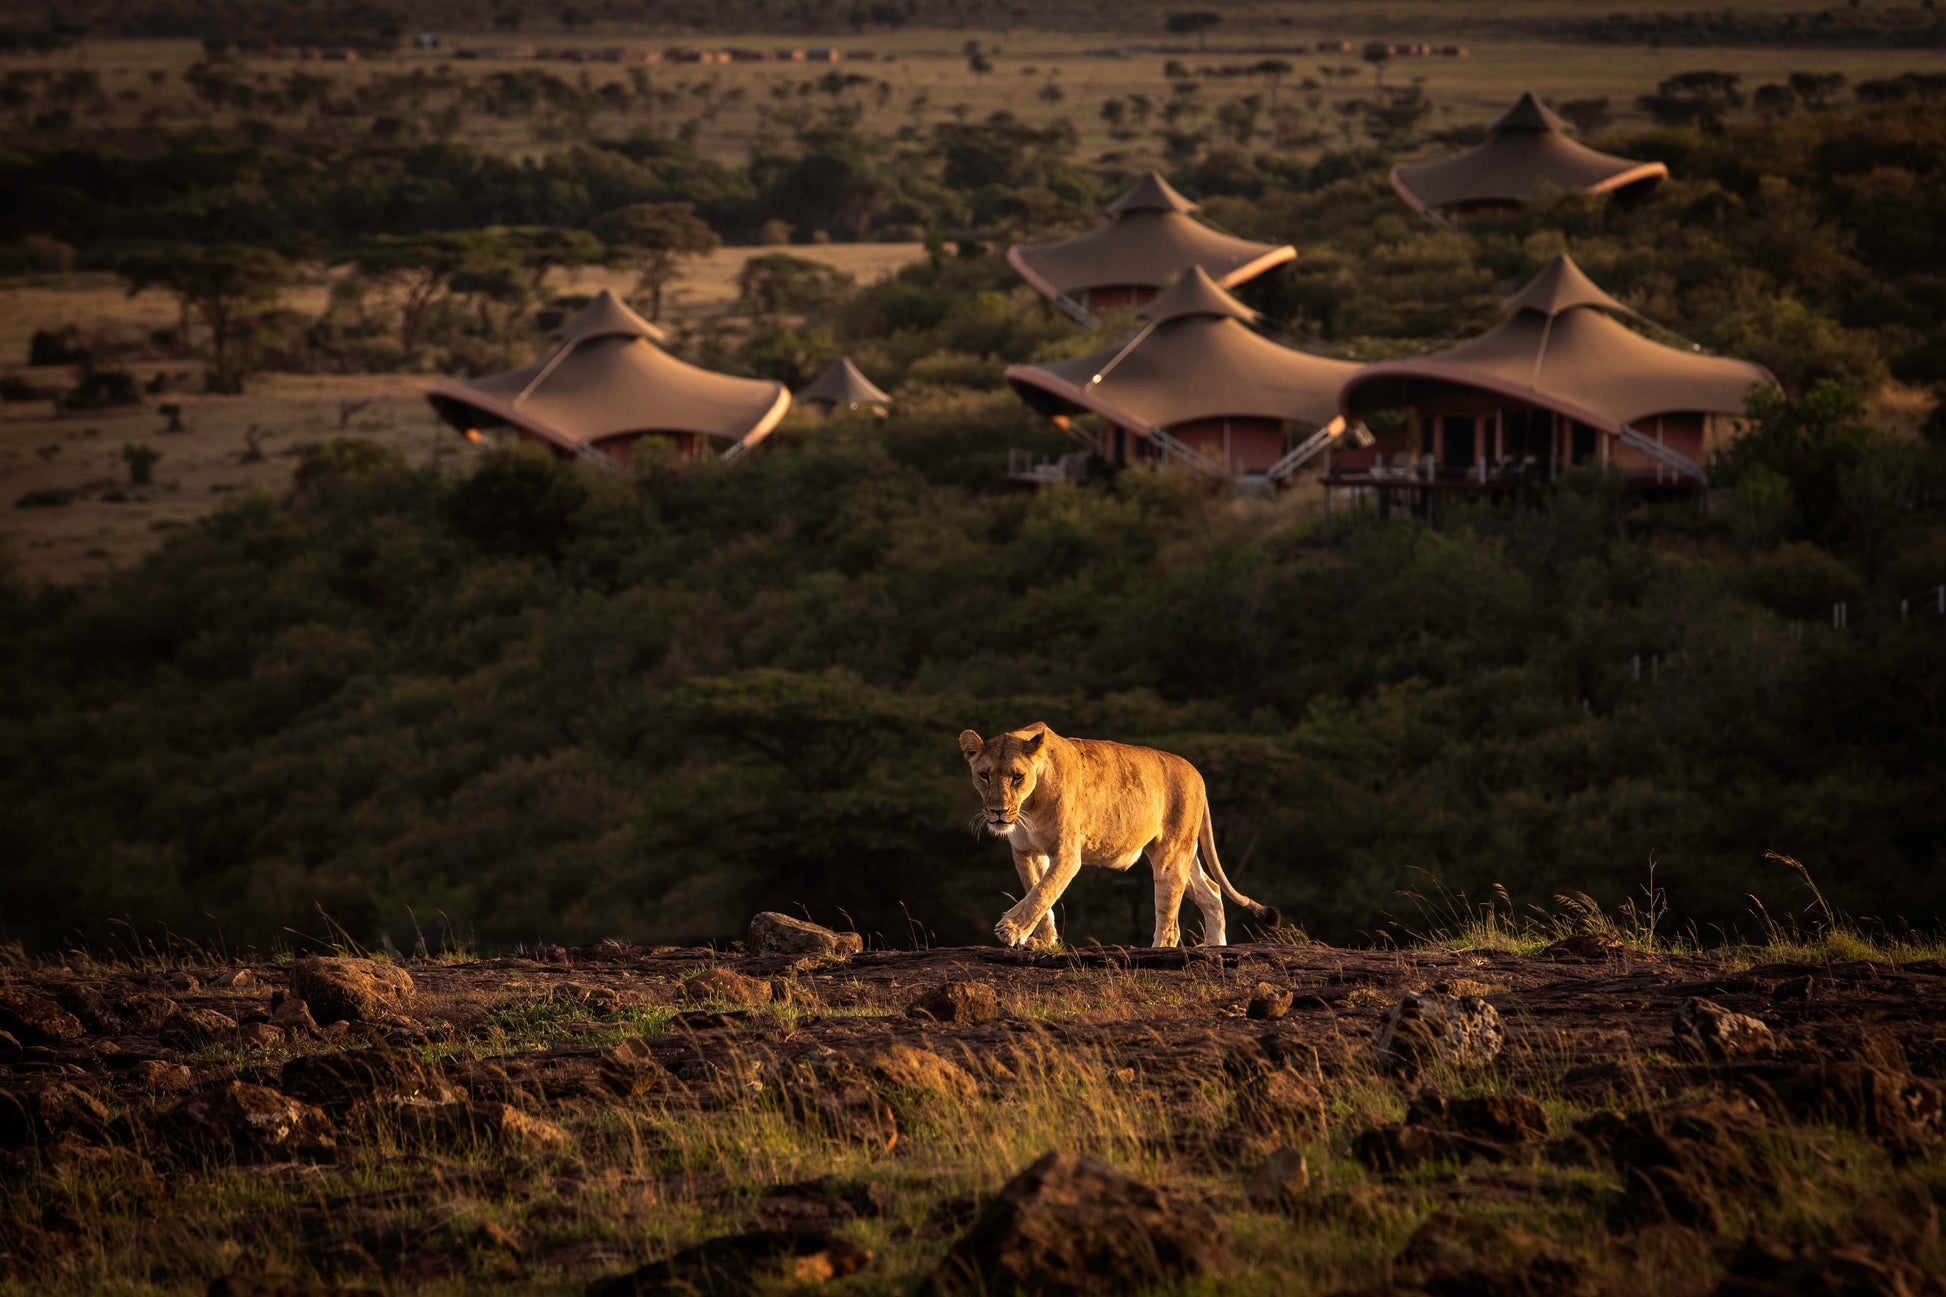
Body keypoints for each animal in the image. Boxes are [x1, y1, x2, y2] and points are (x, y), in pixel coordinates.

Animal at [958, 722, 1280, 949]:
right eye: (984, 775)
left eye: (1017, 776)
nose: (998, 812)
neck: (1029, 805)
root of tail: (1197, 774)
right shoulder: (1026, 851)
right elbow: (1037, 892)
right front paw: (1044, 942)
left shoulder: (1067, 853)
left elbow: (1042, 892)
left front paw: (1010, 930)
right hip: (1183, 855)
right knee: (1212, 892)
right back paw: (1214, 946)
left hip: (1171, 856)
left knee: (1171, 923)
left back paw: (1162, 950)